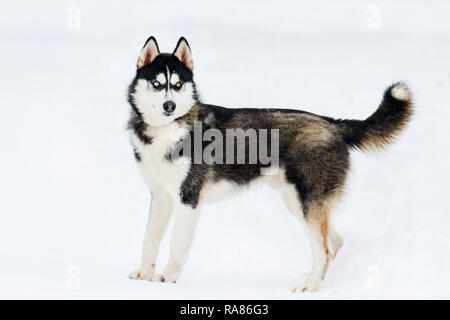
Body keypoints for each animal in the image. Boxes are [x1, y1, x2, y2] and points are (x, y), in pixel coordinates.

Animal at [125, 36, 412, 292]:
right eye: (156, 83)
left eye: (177, 84)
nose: (169, 105)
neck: (167, 132)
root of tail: (333, 124)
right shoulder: (161, 197)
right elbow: (149, 239)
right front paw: (144, 273)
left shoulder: (188, 199)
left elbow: (177, 244)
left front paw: (168, 278)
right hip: (298, 204)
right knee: (334, 244)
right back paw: (314, 279)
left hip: (308, 204)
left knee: (324, 248)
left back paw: (310, 286)